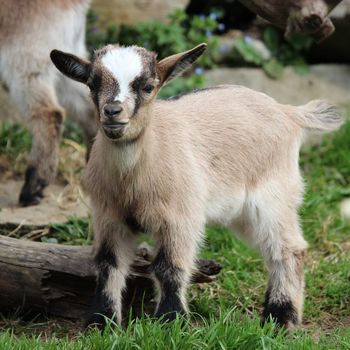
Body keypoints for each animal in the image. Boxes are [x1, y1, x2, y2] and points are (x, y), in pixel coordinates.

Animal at [50, 42, 344, 330]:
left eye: (148, 86)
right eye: (92, 84)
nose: (112, 112)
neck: (133, 182)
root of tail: (289, 112)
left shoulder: (180, 217)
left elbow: (168, 266)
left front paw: (171, 321)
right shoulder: (108, 217)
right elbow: (107, 264)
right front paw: (100, 321)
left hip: (273, 194)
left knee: (289, 248)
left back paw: (281, 318)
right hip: (242, 213)